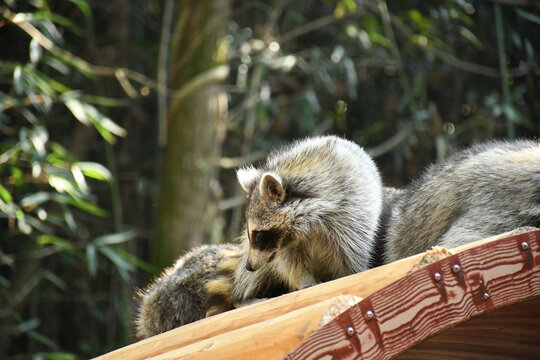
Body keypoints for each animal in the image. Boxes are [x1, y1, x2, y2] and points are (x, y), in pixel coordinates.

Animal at [234, 136, 382, 294]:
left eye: (258, 234)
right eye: (250, 233)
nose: (249, 266)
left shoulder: (349, 214)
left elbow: (350, 254)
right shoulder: (285, 245)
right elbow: (292, 263)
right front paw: (305, 280)